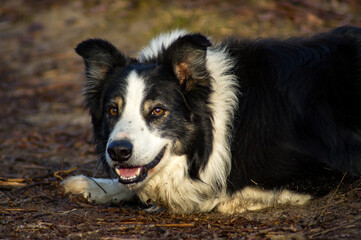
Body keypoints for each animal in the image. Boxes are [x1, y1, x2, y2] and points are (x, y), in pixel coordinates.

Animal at [62, 26, 360, 214]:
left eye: (157, 111)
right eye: (113, 111)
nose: (118, 151)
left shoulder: (329, 170)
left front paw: (224, 200)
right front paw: (93, 185)